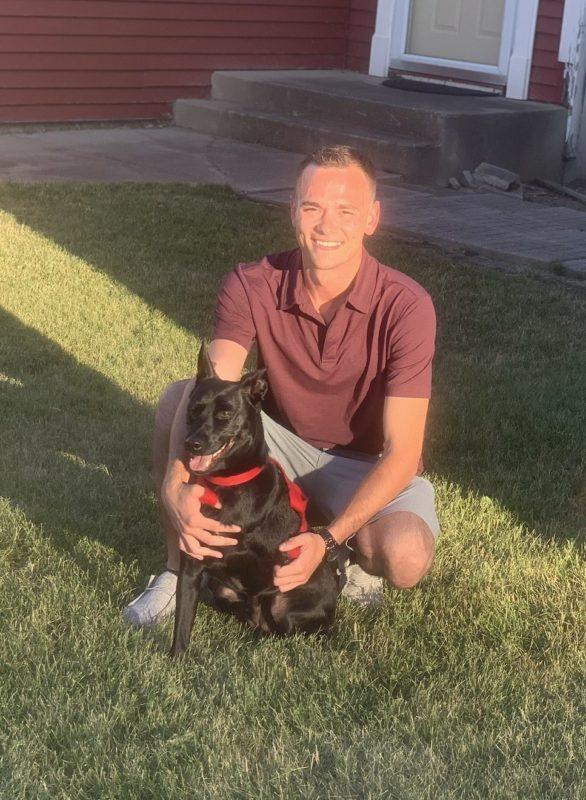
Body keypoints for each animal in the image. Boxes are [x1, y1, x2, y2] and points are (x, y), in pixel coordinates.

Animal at [169, 346, 338, 660]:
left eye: (225, 413)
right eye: (194, 409)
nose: (191, 443)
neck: (225, 486)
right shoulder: (192, 565)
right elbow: (182, 623)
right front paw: (175, 661)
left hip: (282, 605)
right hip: (225, 592)